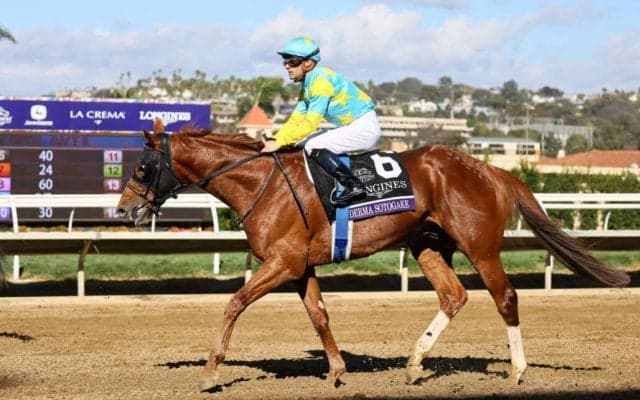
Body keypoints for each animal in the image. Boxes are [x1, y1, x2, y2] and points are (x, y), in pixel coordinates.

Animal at [116, 120, 630, 391]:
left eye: (142, 166)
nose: (124, 210)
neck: (261, 183)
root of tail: (491, 169)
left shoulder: (282, 263)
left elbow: (234, 304)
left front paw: (209, 371)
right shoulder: (300, 266)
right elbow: (319, 315)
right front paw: (337, 371)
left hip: (481, 247)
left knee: (505, 298)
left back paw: (517, 371)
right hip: (427, 245)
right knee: (454, 296)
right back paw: (415, 362)